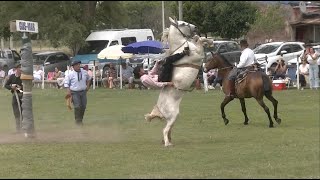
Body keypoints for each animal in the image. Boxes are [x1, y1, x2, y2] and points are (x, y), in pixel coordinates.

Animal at [145, 17, 212, 146]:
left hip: (172, 118)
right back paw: (167, 144)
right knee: (165, 130)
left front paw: (210, 41)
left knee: (168, 129)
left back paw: (168, 141)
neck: (182, 47)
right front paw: (207, 40)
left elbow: (199, 39)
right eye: (183, 23)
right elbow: (200, 41)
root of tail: (159, 109)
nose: (195, 27)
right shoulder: (198, 54)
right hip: (173, 116)